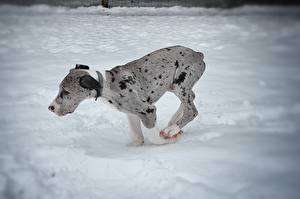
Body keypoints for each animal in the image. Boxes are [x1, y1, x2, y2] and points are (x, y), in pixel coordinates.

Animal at [48, 45, 205, 145]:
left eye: (66, 92)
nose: (50, 108)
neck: (108, 85)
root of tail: (197, 53)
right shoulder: (132, 114)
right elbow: (137, 137)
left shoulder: (147, 110)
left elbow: (154, 137)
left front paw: (169, 139)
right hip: (174, 86)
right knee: (191, 97)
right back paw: (173, 121)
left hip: (181, 84)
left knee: (192, 111)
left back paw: (172, 129)